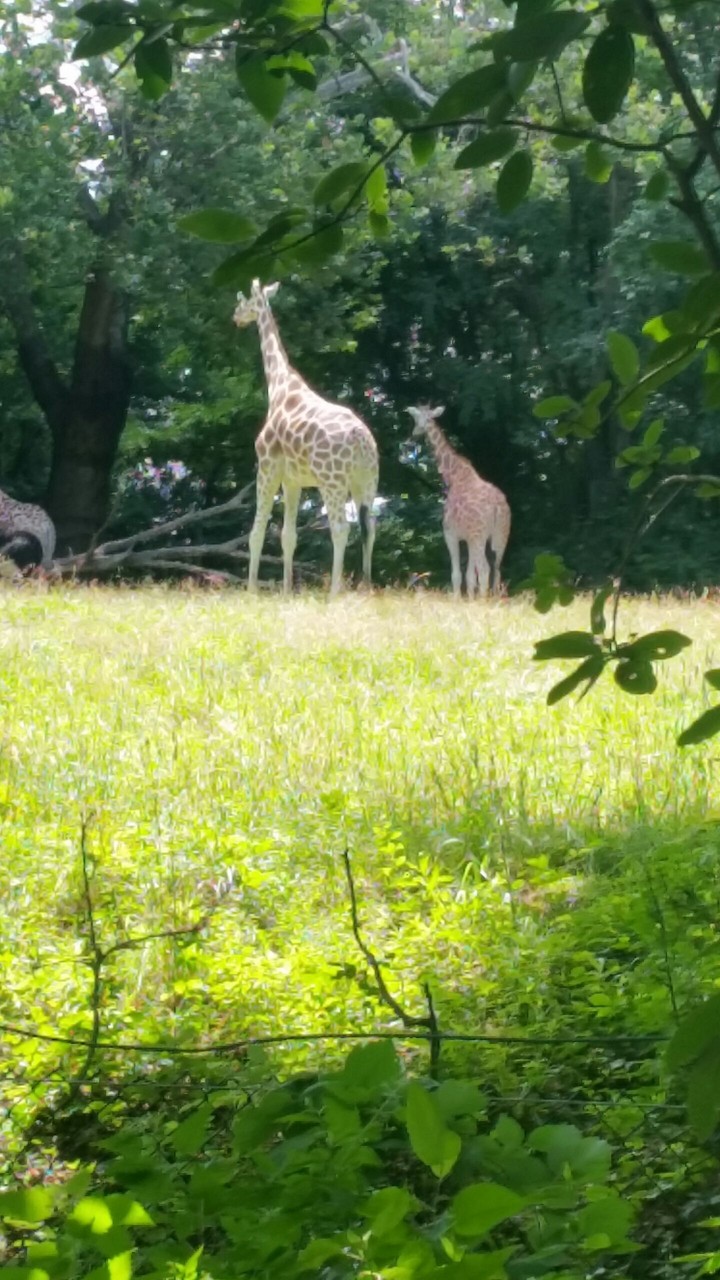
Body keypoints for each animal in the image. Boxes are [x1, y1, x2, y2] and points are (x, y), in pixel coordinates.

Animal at [233, 280, 379, 596]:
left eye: (243, 301)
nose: (236, 318)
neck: (278, 385)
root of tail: (362, 441)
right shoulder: (293, 479)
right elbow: (288, 535)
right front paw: (287, 590)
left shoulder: (267, 466)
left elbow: (256, 531)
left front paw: (251, 590)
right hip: (367, 482)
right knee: (370, 528)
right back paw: (366, 588)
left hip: (333, 482)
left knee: (341, 528)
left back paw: (335, 592)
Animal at [407, 405, 510, 599]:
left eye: (416, 419)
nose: (413, 437)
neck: (454, 476)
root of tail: (497, 508)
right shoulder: (468, 538)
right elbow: (470, 576)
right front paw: (469, 599)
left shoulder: (451, 534)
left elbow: (457, 574)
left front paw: (457, 599)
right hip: (501, 536)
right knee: (497, 570)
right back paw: (493, 600)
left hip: (480, 536)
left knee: (485, 569)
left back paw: (484, 601)